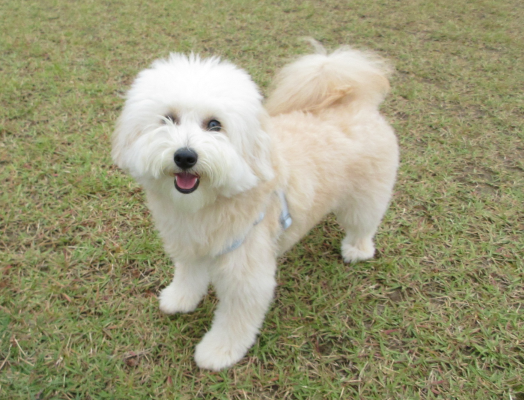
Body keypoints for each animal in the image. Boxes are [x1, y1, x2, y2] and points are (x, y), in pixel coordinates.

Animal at [112, 41, 399, 371]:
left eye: (215, 125)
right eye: (168, 118)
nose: (185, 156)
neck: (211, 204)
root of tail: (352, 99)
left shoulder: (246, 273)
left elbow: (235, 320)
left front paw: (218, 352)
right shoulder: (190, 247)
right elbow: (188, 277)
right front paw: (180, 299)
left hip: (366, 196)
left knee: (364, 223)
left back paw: (357, 250)